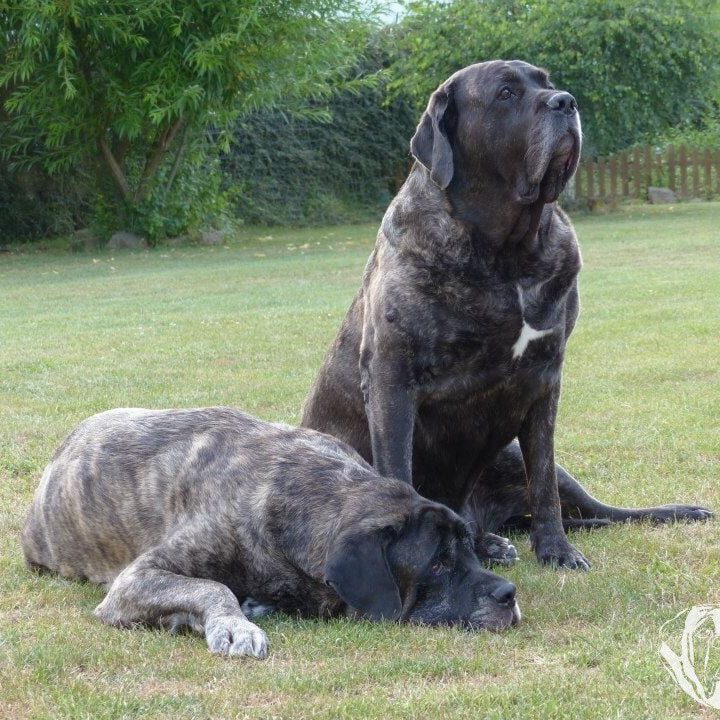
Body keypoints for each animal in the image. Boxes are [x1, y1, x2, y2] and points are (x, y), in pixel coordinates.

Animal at [22, 407, 520, 659]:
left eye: (463, 554)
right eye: (436, 563)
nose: (508, 595)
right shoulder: (136, 578)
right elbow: (212, 586)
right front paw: (233, 624)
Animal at [301, 60, 712, 570]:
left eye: (547, 83)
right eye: (505, 94)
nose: (566, 101)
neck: (508, 251)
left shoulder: (544, 379)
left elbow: (544, 483)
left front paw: (557, 551)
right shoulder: (391, 379)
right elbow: (397, 473)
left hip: (516, 455)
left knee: (601, 510)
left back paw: (677, 512)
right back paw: (488, 544)